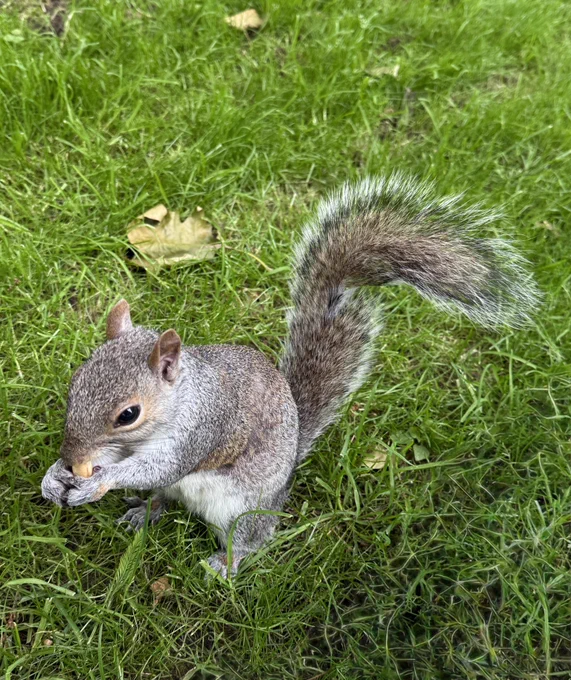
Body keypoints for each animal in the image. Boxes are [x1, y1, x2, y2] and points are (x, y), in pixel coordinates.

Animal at [41, 173, 540, 577]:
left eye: (129, 414)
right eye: (76, 383)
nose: (72, 456)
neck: (181, 397)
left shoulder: (203, 429)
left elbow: (154, 465)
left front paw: (98, 481)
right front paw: (55, 476)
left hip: (246, 509)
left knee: (249, 538)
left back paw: (225, 565)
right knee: (163, 497)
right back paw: (144, 511)